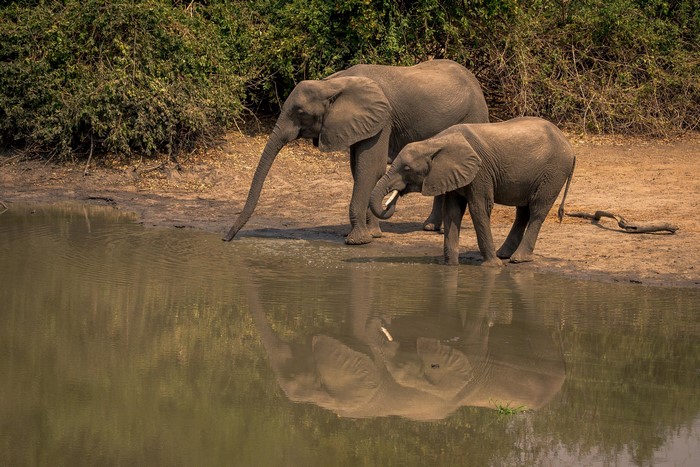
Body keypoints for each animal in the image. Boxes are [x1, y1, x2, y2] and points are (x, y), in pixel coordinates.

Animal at [223, 59, 489, 245]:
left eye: (300, 113)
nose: (226, 239)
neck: (333, 83)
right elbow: (359, 168)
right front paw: (373, 233)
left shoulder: (383, 119)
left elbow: (369, 167)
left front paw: (357, 240)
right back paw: (431, 228)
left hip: (474, 113)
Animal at [370, 117, 576, 266]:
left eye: (406, 168)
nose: (392, 199)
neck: (434, 143)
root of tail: (569, 145)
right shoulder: (453, 173)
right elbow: (452, 211)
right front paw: (450, 266)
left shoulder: (480, 172)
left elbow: (479, 209)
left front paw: (493, 267)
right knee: (523, 211)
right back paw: (504, 254)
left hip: (554, 173)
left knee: (537, 210)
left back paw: (517, 259)